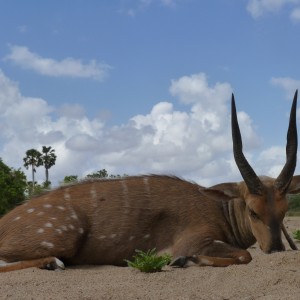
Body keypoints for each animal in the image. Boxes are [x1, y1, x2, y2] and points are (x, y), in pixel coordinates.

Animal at [0, 92, 298, 272]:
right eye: (252, 211)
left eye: (284, 211)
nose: (276, 250)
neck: (219, 209)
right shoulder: (193, 241)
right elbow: (244, 255)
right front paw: (181, 261)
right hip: (65, 235)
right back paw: (53, 262)